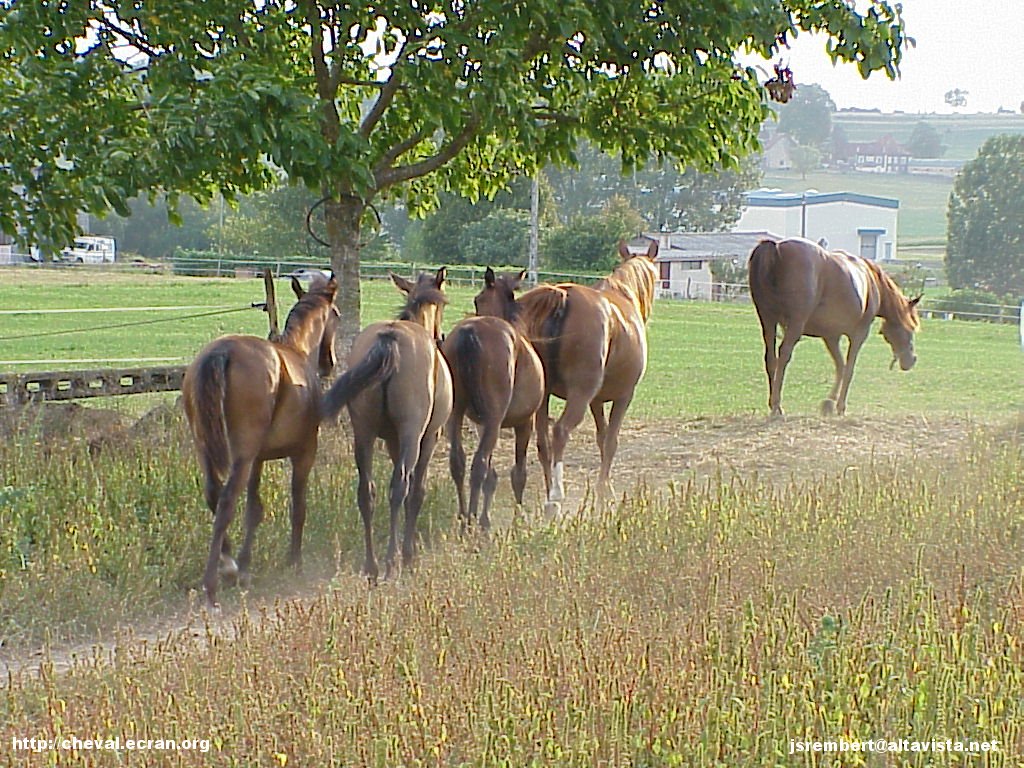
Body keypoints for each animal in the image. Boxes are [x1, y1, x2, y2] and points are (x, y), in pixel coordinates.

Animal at [181, 274, 339, 610]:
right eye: (337, 315)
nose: (329, 363)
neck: (296, 352)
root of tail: (223, 351)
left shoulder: (257, 460)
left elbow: (254, 510)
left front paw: (245, 567)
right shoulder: (304, 452)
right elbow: (298, 505)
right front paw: (294, 562)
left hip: (209, 450)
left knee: (213, 494)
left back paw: (228, 565)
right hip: (241, 457)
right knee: (226, 502)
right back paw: (213, 584)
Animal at [323, 270, 452, 581]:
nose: (441, 336)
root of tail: (390, 337)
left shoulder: (392, 441)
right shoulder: (426, 439)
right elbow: (415, 493)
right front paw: (409, 554)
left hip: (364, 435)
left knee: (366, 493)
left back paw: (371, 566)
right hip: (411, 435)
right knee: (399, 489)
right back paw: (392, 560)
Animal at [444, 268, 548, 532]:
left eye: (476, 298)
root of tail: (470, 332)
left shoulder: (481, 425)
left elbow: (492, 476)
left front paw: (486, 520)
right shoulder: (524, 423)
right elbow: (518, 474)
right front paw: (518, 520)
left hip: (457, 416)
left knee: (458, 463)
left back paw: (464, 517)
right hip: (494, 420)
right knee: (477, 466)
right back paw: (469, 522)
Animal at [516, 240, 659, 512]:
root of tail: (562, 298)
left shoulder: (597, 401)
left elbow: (601, 438)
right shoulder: (624, 396)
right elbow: (611, 442)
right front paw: (604, 492)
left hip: (544, 396)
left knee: (543, 443)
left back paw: (549, 496)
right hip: (579, 396)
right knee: (560, 431)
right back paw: (557, 493)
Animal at [749, 240, 925, 421]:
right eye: (911, 328)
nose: (911, 360)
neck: (872, 282)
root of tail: (777, 247)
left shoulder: (831, 336)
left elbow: (840, 366)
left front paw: (829, 403)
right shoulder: (858, 335)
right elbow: (849, 368)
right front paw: (840, 407)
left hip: (767, 321)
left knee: (771, 359)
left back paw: (774, 405)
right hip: (794, 326)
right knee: (783, 356)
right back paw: (777, 406)